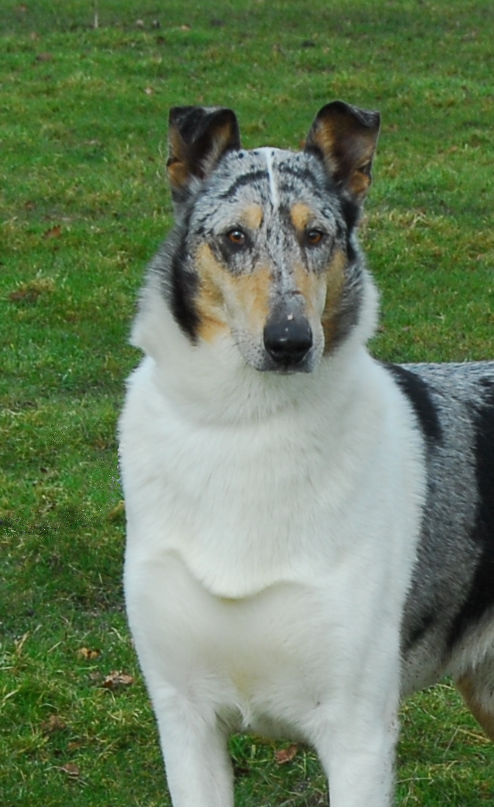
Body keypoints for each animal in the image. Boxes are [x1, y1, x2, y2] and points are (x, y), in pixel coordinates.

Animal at [120, 102, 494, 808]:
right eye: (234, 237)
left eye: (317, 235)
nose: (291, 341)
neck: (247, 428)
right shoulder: (184, 717)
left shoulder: (357, 733)